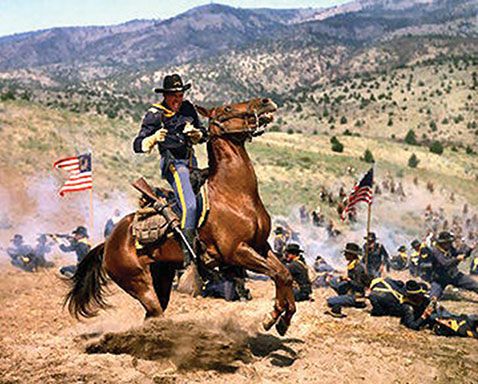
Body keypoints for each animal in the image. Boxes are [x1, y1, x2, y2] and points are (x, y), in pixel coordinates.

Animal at [63, 97, 296, 334]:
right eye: (227, 108)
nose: (265, 102)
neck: (235, 194)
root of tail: (108, 243)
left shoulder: (260, 246)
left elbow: (284, 274)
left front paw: (282, 317)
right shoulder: (237, 251)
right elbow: (277, 273)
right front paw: (274, 317)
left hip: (162, 276)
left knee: (152, 315)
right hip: (138, 283)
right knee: (155, 313)